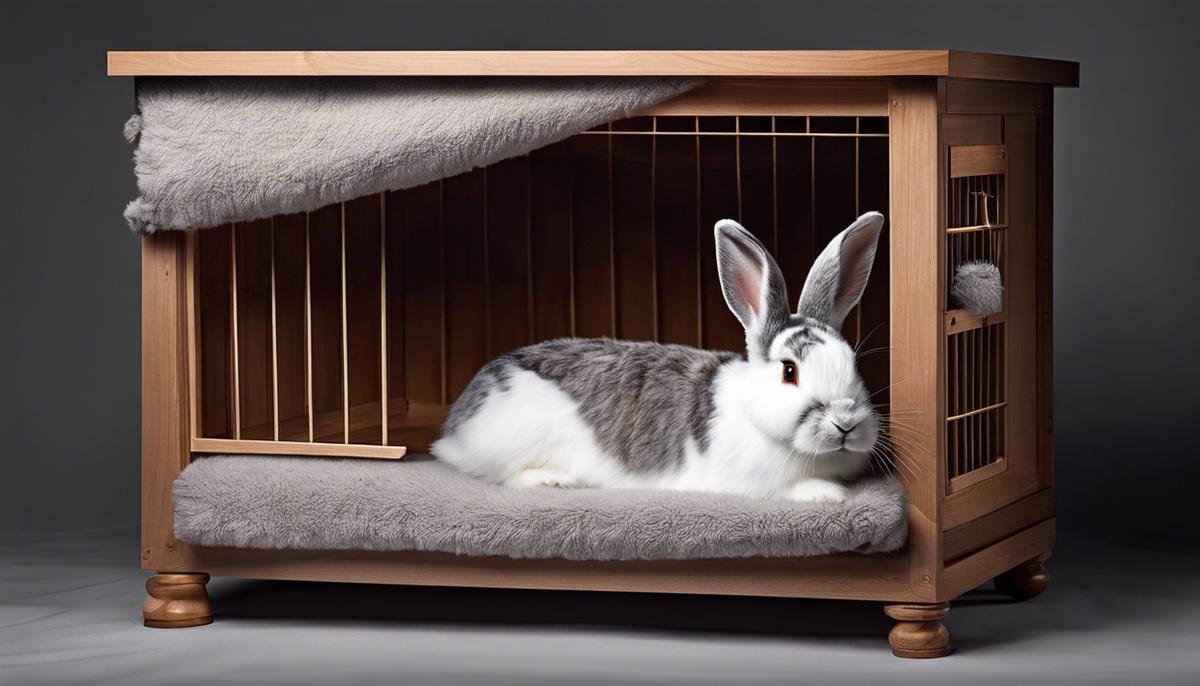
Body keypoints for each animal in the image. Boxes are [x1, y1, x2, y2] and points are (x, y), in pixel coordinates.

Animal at [436, 209, 888, 503]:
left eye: (853, 364)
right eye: (789, 371)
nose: (846, 423)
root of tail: (457, 425)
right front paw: (827, 495)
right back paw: (553, 482)